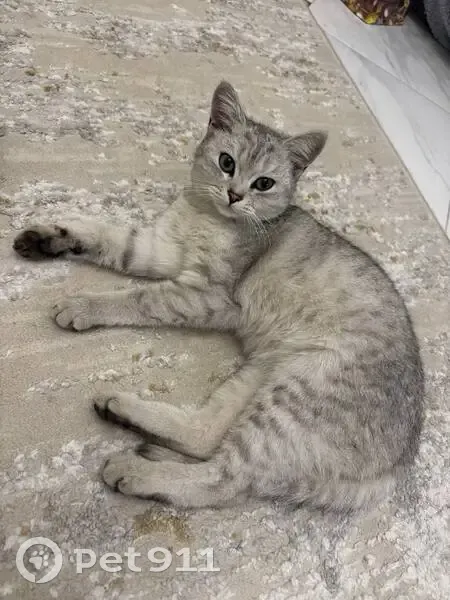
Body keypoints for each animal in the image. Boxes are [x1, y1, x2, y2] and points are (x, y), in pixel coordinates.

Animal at [13, 81, 423, 511]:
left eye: (264, 184)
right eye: (227, 162)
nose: (235, 194)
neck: (205, 216)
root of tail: (394, 469)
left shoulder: (205, 293)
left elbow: (139, 298)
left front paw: (82, 304)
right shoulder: (158, 248)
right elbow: (105, 236)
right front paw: (47, 239)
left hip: (290, 398)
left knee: (224, 478)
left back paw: (136, 471)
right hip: (257, 378)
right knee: (204, 435)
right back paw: (122, 412)